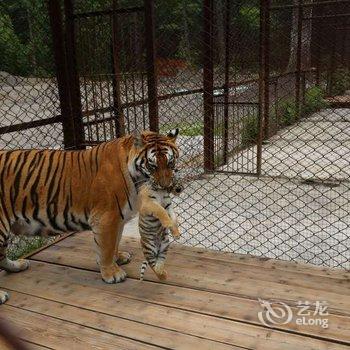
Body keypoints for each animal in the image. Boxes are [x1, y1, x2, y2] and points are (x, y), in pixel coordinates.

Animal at [0, 129, 179, 304]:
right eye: (152, 165)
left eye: (170, 163)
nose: (166, 187)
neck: (136, 179)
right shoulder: (106, 217)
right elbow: (106, 247)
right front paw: (112, 273)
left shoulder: (119, 219)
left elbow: (115, 242)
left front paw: (118, 258)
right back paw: (2, 295)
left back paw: (17, 265)